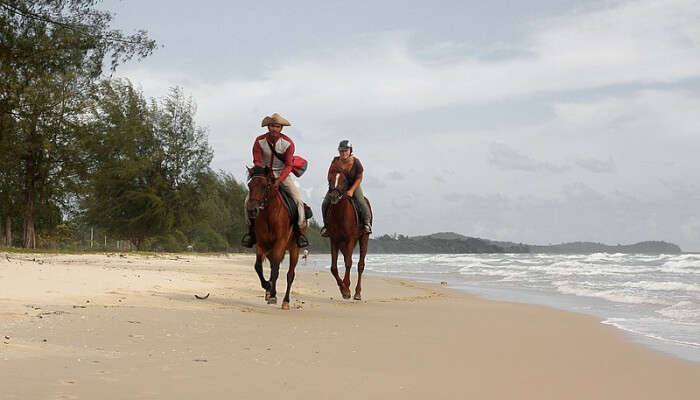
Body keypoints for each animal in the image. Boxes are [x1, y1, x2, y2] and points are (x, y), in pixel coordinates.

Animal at [246, 166, 304, 310]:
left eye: (265, 186)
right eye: (249, 185)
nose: (252, 210)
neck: (269, 214)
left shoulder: (280, 242)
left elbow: (277, 269)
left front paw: (272, 294)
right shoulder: (262, 243)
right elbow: (258, 266)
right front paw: (268, 286)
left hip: (294, 249)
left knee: (290, 274)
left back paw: (285, 301)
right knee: (272, 266)